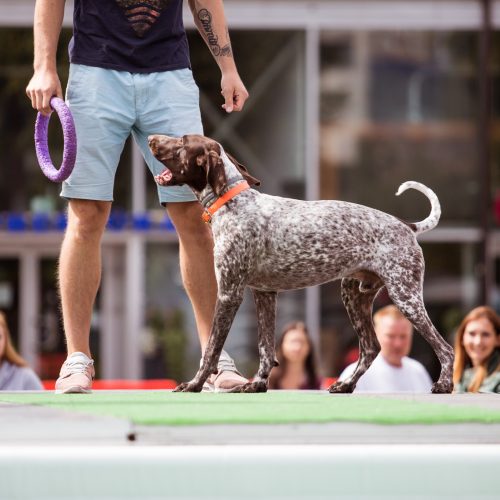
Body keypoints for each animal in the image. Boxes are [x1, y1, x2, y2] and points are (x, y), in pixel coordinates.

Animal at [147, 134, 454, 394]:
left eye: (182, 141)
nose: (150, 138)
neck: (234, 203)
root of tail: (407, 226)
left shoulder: (229, 293)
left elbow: (211, 349)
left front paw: (194, 384)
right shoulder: (264, 294)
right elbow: (265, 348)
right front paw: (257, 385)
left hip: (405, 297)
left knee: (446, 348)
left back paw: (444, 385)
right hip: (354, 296)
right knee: (371, 348)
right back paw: (345, 385)